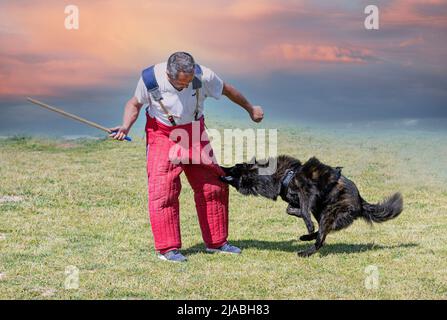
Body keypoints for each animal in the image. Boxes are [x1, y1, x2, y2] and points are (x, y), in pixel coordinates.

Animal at [221, 155, 406, 258]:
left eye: (234, 167)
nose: (221, 167)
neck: (280, 176)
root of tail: (361, 202)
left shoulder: (308, 189)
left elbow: (303, 209)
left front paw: (307, 224)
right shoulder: (301, 200)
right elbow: (291, 209)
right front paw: (303, 222)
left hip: (329, 212)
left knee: (321, 239)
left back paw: (306, 251)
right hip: (322, 211)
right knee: (323, 232)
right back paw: (306, 238)